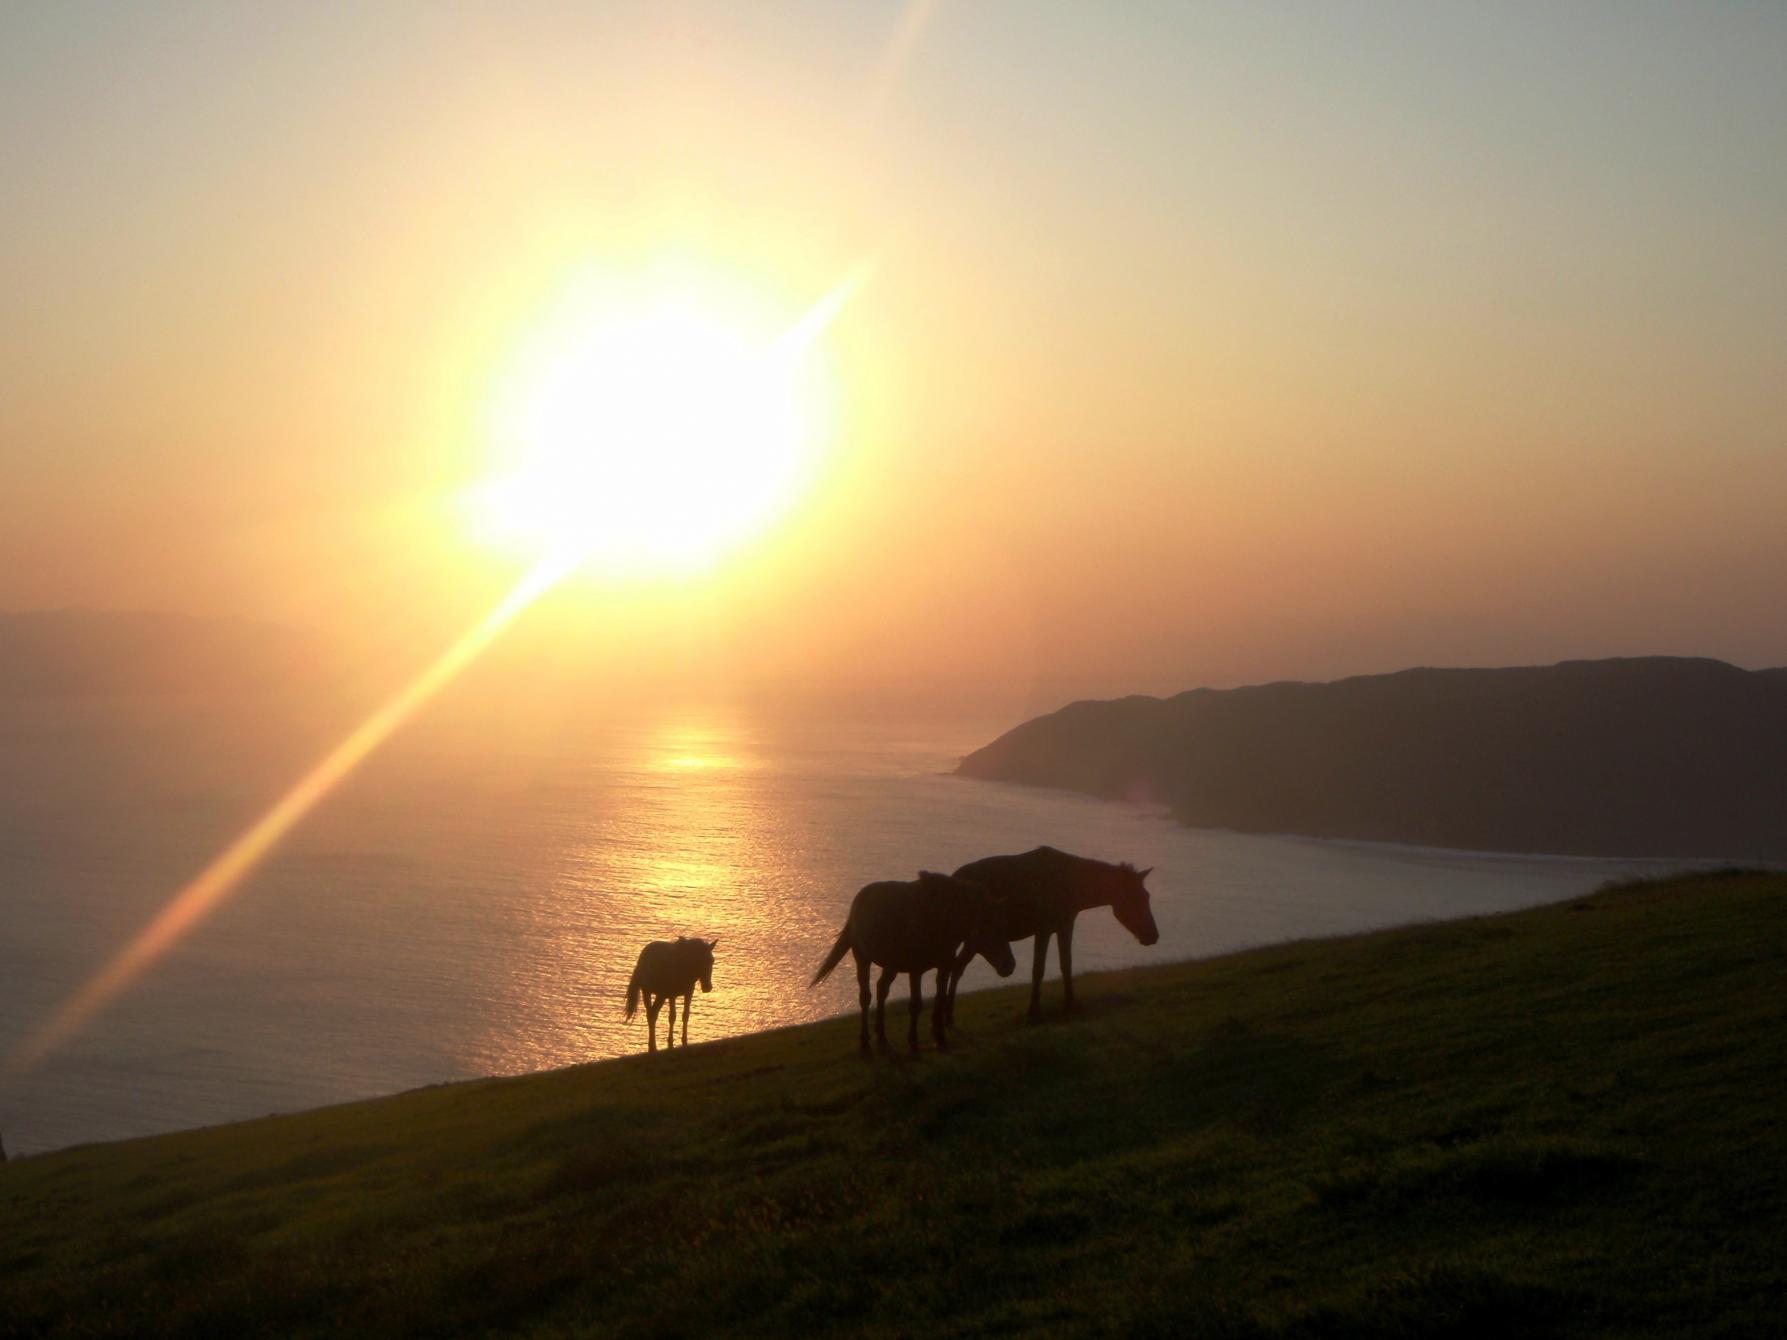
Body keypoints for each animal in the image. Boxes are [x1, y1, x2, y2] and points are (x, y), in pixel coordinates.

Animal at [810, 871, 1016, 1054]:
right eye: (990, 927)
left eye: (1004, 925)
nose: (1009, 965)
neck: (940, 919)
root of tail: (859, 902)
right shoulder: (916, 970)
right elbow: (916, 1004)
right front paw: (913, 1044)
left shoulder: (944, 967)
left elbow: (940, 998)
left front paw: (940, 1039)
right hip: (862, 959)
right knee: (865, 996)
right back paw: (865, 1042)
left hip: (891, 965)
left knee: (881, 990)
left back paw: (882, 1037)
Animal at [940, 846, 1158, 1024]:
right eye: (1135, 897)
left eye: (1147, 895)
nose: (1153, 935)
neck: (1076, 893)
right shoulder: (1043, 929)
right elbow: (1038, 969)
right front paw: (1033, 1010)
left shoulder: (1065, 926)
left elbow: (1066, 964)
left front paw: (1070, 1003)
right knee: (955, 968)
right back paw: (947, 1017)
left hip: (974, 940)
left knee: (957, 967)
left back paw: (949, 1016)